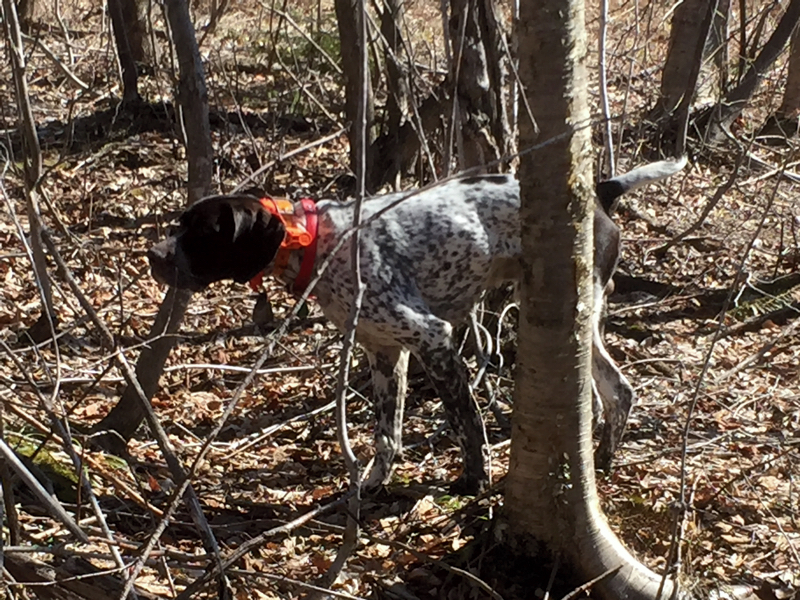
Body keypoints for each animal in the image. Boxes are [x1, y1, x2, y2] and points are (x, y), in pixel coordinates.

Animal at [150, 157, 688, 494]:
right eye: (178, 225)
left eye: (199, 233)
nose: (152, 255)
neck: (318, 242)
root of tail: (599, 192)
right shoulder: (385, 353)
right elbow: (386, 433)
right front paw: (375, 482)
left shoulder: (433, 337)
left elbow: (465, 420)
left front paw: (475, 480)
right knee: (607, 394)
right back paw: (599, 463)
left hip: (577, 304)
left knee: (618, 390)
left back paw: (602, 463)